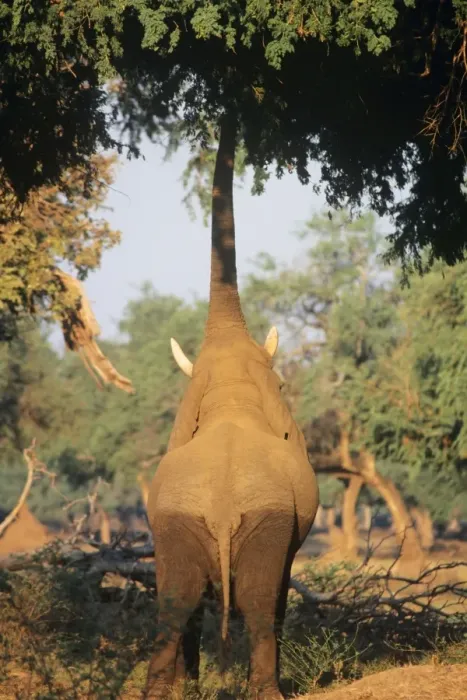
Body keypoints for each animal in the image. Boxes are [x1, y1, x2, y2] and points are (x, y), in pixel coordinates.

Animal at [144, 115, 319, 699]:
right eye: (280, 382)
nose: (229, 114)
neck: (229, 394)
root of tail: (220, 508)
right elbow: (276, 592)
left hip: (178, 522)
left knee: (173, 605)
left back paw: (159, 693)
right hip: (264, 518)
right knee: (262, 604)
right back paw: (267, 693)